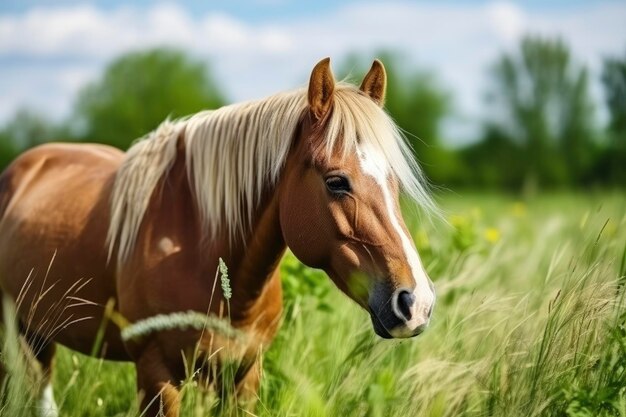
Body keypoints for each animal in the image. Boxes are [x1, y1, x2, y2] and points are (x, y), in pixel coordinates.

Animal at [0, 58, 436, 416]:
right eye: (336, 182)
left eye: (395, 183)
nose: (416, 303)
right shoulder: (157, 377)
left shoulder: (243, 376)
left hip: (38, 329)